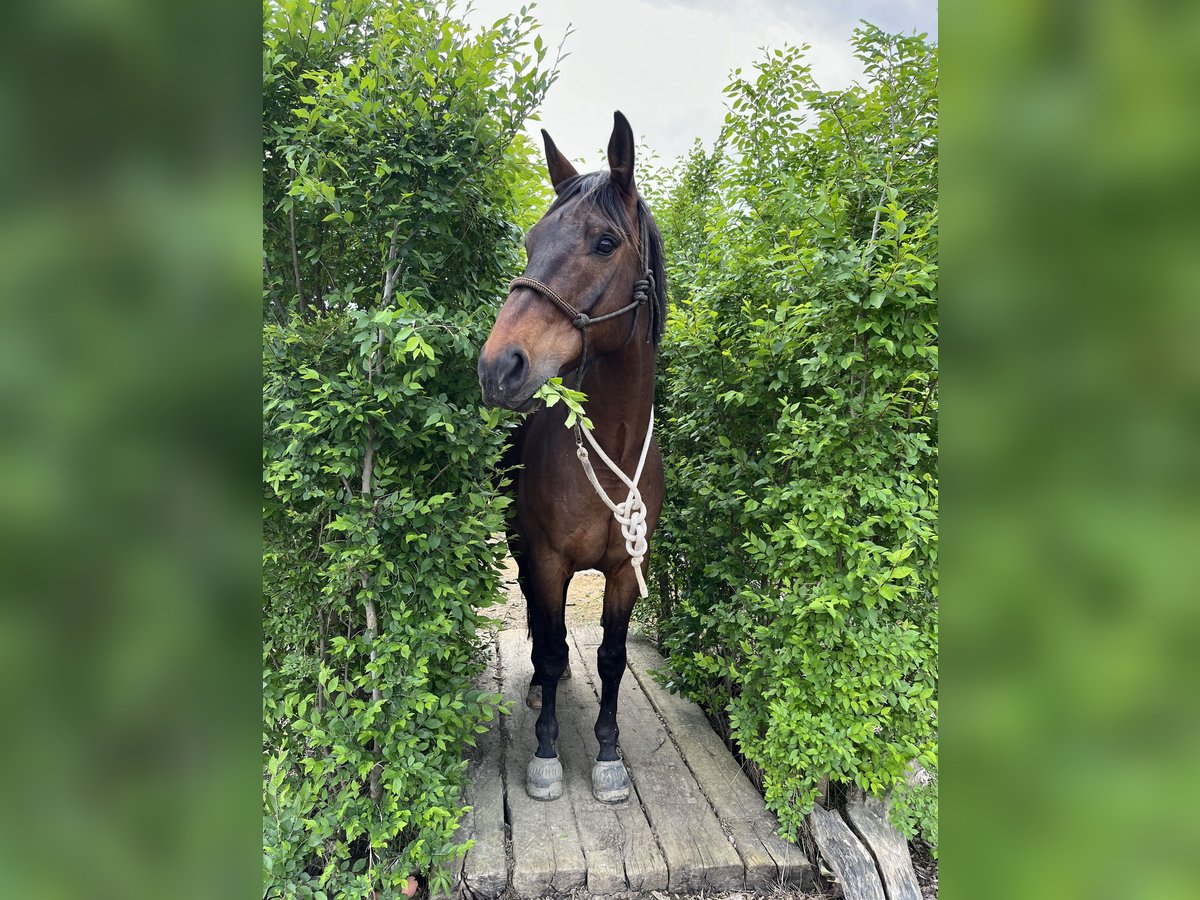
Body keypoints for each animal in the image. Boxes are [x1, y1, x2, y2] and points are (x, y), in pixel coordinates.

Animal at [475, 111, 667, 801]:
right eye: (532, 241)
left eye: (605, 242)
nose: (498, 367)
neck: (613, 439)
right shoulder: (550, 558)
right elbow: (553, 646)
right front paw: (546, 753)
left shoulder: (625, 570)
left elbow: (611, 657)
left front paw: (608, 755)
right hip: (522, 547)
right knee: (537, 620)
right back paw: (538, 690)